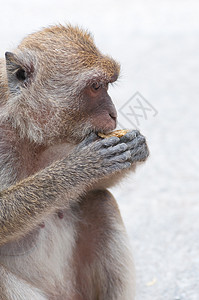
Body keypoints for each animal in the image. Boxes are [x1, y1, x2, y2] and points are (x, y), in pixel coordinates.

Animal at [0, 24, 149, 298]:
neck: (26, 129)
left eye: (107, 85)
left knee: (100, 200)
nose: (114, 114)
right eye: (95, 86)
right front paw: (82, 165)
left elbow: (92, 188)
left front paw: (135, 146)